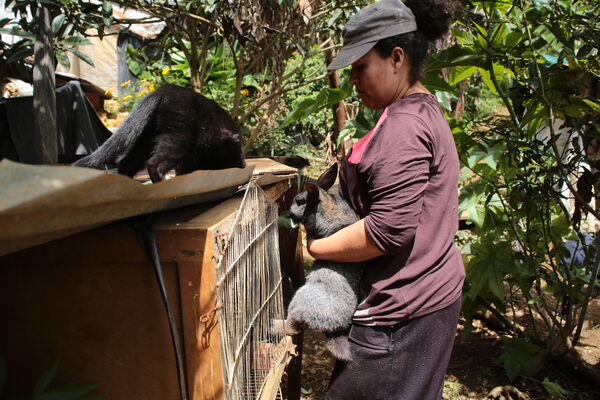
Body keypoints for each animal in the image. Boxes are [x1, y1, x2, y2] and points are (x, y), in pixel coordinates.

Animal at [73, 86, 246, 184]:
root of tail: (164, 90)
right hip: (179, 137)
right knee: (154, 163)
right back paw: (161, 181)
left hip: (146, 139)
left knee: (125, 162)